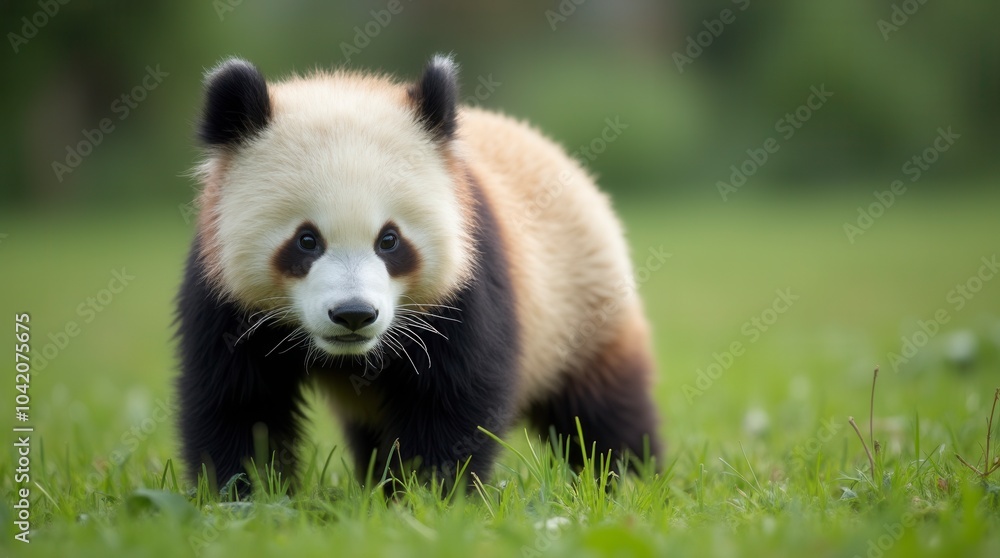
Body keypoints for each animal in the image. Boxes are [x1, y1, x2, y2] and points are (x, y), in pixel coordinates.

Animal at [176, 54, 662, 493]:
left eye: (389, 240)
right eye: (306, 240)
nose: (353, 315)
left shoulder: (465, 279)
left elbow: (452, 400)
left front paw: (427, 495)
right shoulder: (224, 293)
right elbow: (239, 402)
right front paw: (247, 496)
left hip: (581, 301)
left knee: (602, 408)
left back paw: (628, 478)